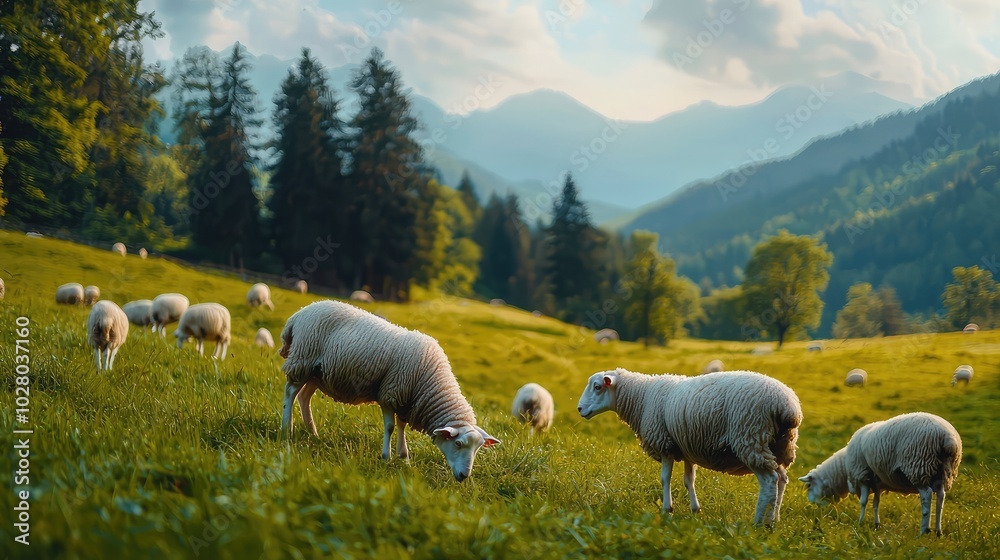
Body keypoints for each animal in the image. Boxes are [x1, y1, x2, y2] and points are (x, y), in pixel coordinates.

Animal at [278, 300, 501, 482]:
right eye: (458, 444)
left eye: (477, 449)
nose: (464, 476)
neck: (430, 380)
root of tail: (299, 314)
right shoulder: (389, 394)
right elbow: (390, 427)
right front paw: (386, 457)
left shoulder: (405, 400)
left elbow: (401, 426)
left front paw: (405, 458)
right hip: (303, 359)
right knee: (290, 392)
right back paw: (286, 430)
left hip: (317, 372)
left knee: (304, 397)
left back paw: (313, 432)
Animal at [577, 368, 802, 525]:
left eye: (597, 387)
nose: (579, 409)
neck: (642, 397)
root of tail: (788, 407)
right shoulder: (686, 447)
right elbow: (688, 480)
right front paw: (695, 510)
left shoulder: (664, 443)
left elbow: (665, 478)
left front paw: (667, 509)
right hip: (779, 446)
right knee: (781, 480)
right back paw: (774, 519)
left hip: (751, 438)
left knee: (769, 482)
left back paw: (760, 522)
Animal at [799, 412, 962, 535]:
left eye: (808, 486)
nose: (813, 505)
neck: (843, 469)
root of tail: (948, 439)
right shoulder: (877, 482)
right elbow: (876, 503)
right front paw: (876, 524)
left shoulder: (862, 476)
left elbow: (863, 502)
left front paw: (860, 522)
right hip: (942, 473)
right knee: (940, 497)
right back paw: (938, 531)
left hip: (918, 465)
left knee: (927, 495)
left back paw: (924, 530)